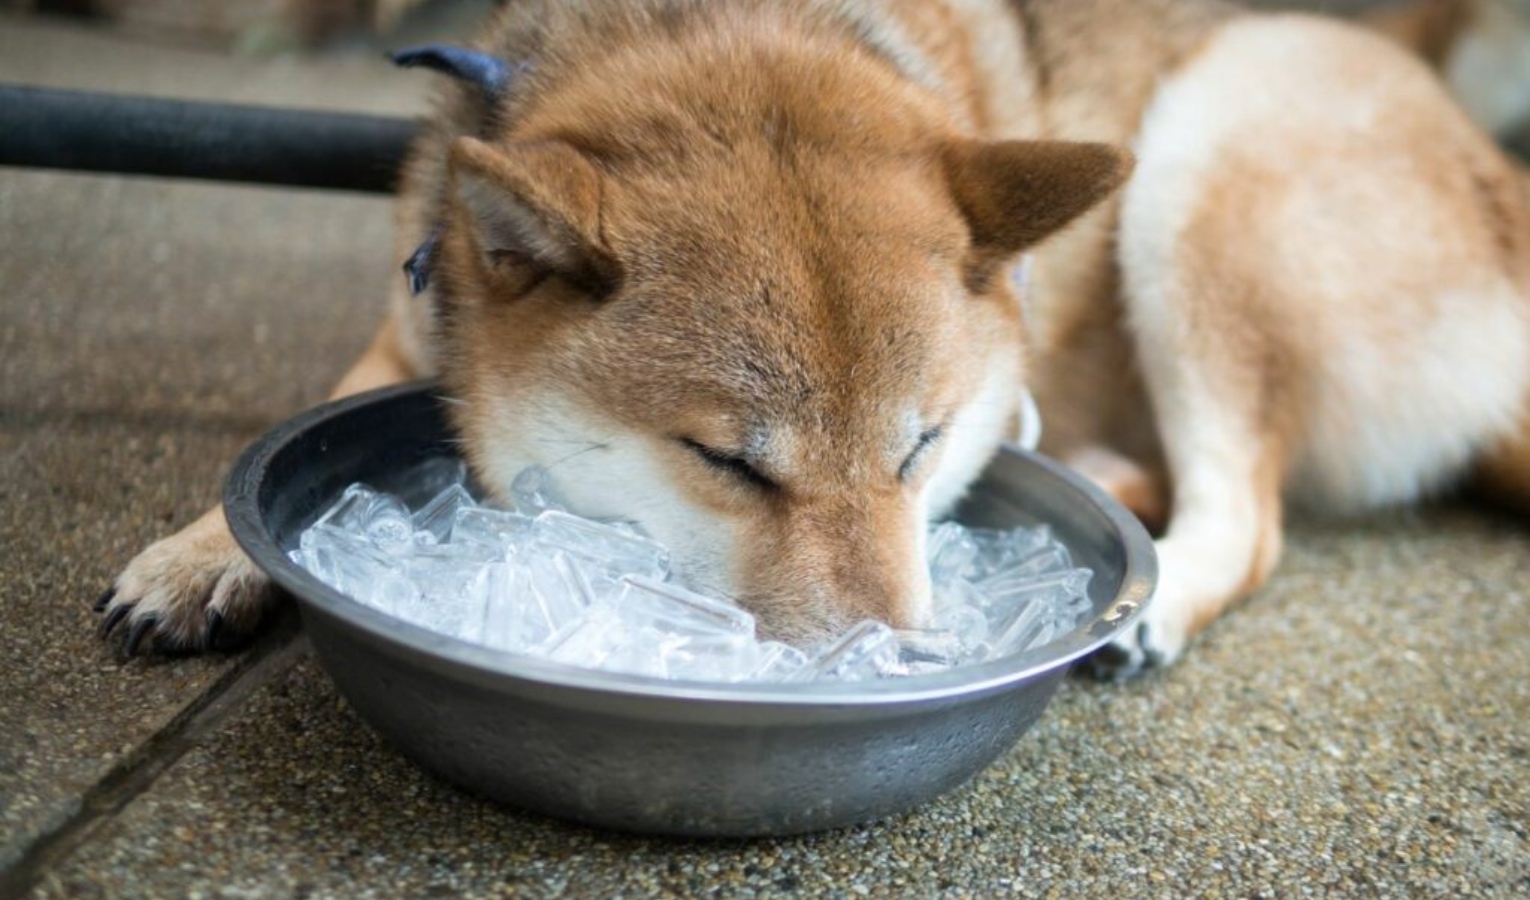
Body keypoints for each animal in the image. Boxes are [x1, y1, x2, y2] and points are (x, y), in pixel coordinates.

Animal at [101, 0, 1530, 682]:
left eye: (922, 448)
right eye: (730, 464)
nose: (887, 666)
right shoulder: (415, 305)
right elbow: (300, 424)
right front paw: (200, 555)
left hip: (1210, 149)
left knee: (1247, 512)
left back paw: (1154, 592)